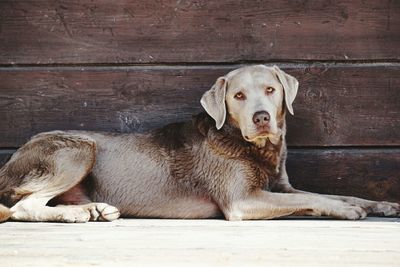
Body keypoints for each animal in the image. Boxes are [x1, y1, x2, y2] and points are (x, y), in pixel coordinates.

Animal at [0, 65, 400, 224]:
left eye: (271, 90)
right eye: (238, 96)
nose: (261, 117)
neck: (252, 146)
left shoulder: (281, 186)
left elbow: (334, 194)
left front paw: (382, 204)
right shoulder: (242, 201)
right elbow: (313, 200)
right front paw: (347, 210)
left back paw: (95, 209)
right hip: (78, 147)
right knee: (23, 206)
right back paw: (76, 214)